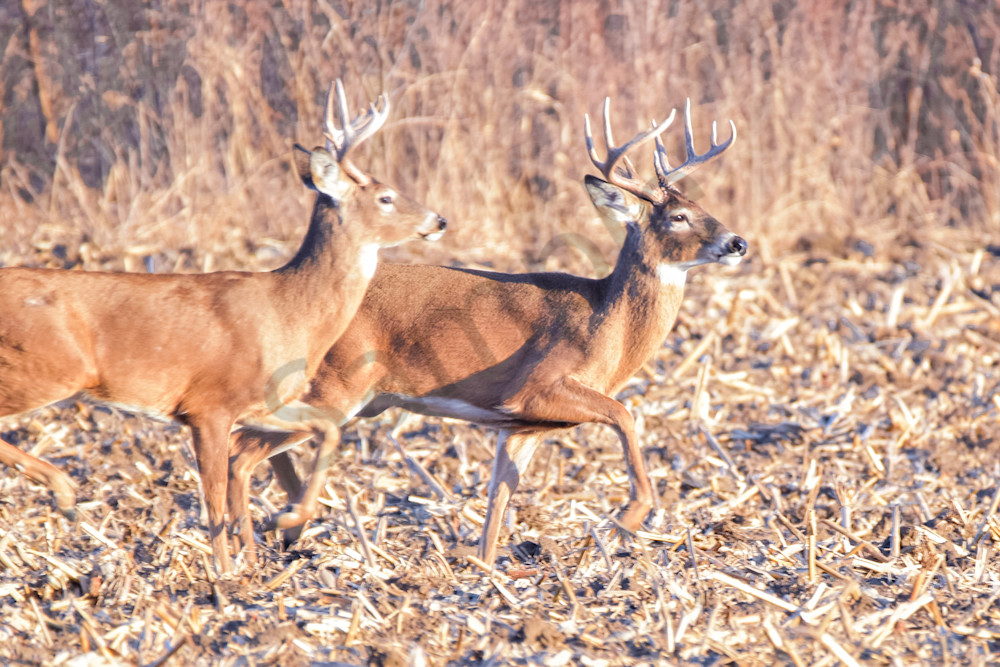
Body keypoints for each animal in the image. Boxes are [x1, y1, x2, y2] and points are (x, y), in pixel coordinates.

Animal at [0, 79, 447, 574]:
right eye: (386, 197)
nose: (439, 220)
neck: (288, 310)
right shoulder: (208, 404)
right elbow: (212, 493)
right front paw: (228, 573)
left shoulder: (259, 401)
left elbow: (326, 429)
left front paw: (286, 520)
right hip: (49, 366)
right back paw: (65, 494)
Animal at [226, 97, 746, 567]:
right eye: (678, 217)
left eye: (702, 205)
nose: (737, 242)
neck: (606, 325)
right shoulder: (534, 386)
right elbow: (624, 414)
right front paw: (629, 519)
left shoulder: (521, 427)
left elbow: (497, 505)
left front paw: (486, 571)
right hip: (335, 386)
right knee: (240, 448)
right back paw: (262, 540)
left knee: (248, 444)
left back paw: (280, 534)